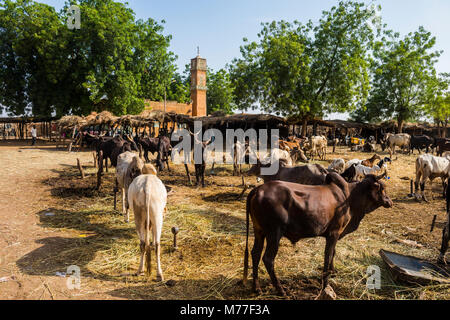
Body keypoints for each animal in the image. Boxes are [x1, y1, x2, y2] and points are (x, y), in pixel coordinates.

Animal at [241, 172, 392, 298]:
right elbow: (328, 255)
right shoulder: (334, 233)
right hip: (274, 233)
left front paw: (332, 271)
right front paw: (325, 283)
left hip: (259, 231)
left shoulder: (335, 234)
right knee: (268, 259)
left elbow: (333, 252)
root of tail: (258, 189)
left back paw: (256, 288)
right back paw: (281, 290)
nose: (389, 201)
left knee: (255, 254)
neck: (349, 197)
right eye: (382, 188)